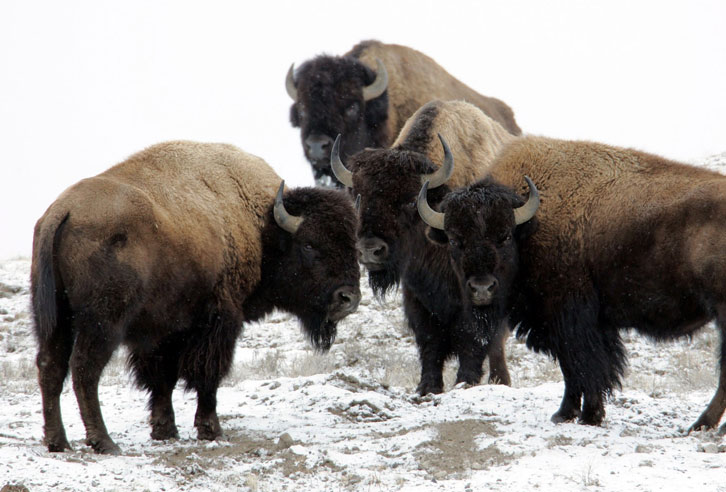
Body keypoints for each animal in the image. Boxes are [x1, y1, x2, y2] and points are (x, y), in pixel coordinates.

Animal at [31, 140, 362, 456]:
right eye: (309, 245)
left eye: (353, 243)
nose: (348, 298)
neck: (262, 226)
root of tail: (63, 211)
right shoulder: (219, 321)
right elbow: (207, 375)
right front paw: (211, 430)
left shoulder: (161, 331)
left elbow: (162, 379)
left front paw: (165, 431)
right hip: (102, 324)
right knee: (84, 371)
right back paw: (104, 442)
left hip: (54, 320)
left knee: (51, 367)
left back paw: (58, 442)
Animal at [332, 101, 520, 396]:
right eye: (358, 196)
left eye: (410, 201)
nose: (370, 250)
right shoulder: (417, 295)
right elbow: (429, 340)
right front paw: (427, 387)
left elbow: (472, 338)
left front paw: (465, 382)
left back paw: (500, 380)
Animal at [418, 135, 726, 430]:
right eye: (455, 240)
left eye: (504, 236)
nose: (482, 289)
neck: (530, 225)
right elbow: (577, 369)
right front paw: (569, 414)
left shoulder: (570, 318)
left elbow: (582, 365)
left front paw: (584, 415)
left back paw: (701, 425)